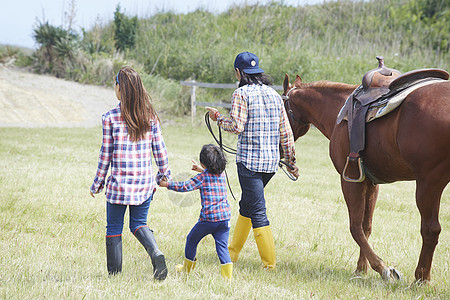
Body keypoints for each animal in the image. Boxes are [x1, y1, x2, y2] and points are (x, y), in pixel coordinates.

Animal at [282, 74, 450, 282]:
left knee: (430, 229)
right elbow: (366, 226)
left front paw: (383, 268)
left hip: (428, 184)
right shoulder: (370, 183)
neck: (338, 113)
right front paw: (361, 269)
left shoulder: (349, 181)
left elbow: (355, 228)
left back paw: (421, 279)